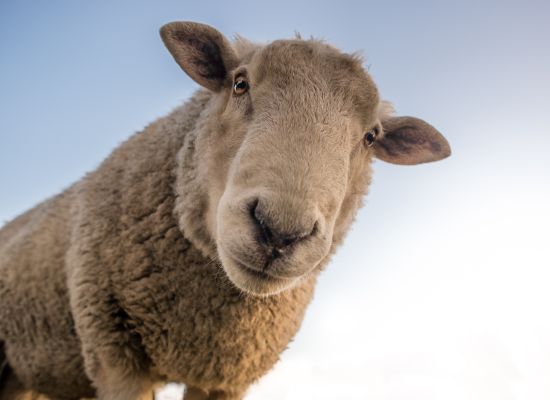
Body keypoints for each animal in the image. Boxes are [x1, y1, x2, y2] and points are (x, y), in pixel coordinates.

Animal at [0, 21, 452, 400]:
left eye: (371, 136)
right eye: (239, 83)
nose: (279, 231)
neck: (202, 321)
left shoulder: (225, 376)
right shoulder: (115, 354)